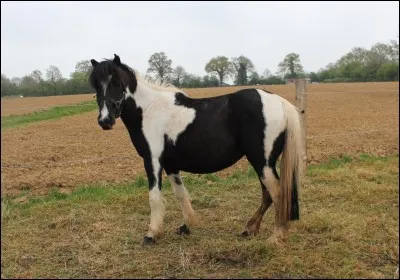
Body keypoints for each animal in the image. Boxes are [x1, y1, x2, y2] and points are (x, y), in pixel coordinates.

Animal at [90, 54, 304, 245]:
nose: (105, 121)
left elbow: (154, 196)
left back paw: (276, 236)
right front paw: (187, 226)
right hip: (263, 163)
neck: (150, 110)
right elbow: (180, 194)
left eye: (118, 83)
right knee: (268, 195)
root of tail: (280, 102)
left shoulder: (152, 160)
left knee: (277, 193)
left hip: (262, 161)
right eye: (96, 86)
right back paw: (250, 229)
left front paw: (151, 234)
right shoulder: (170, 164)